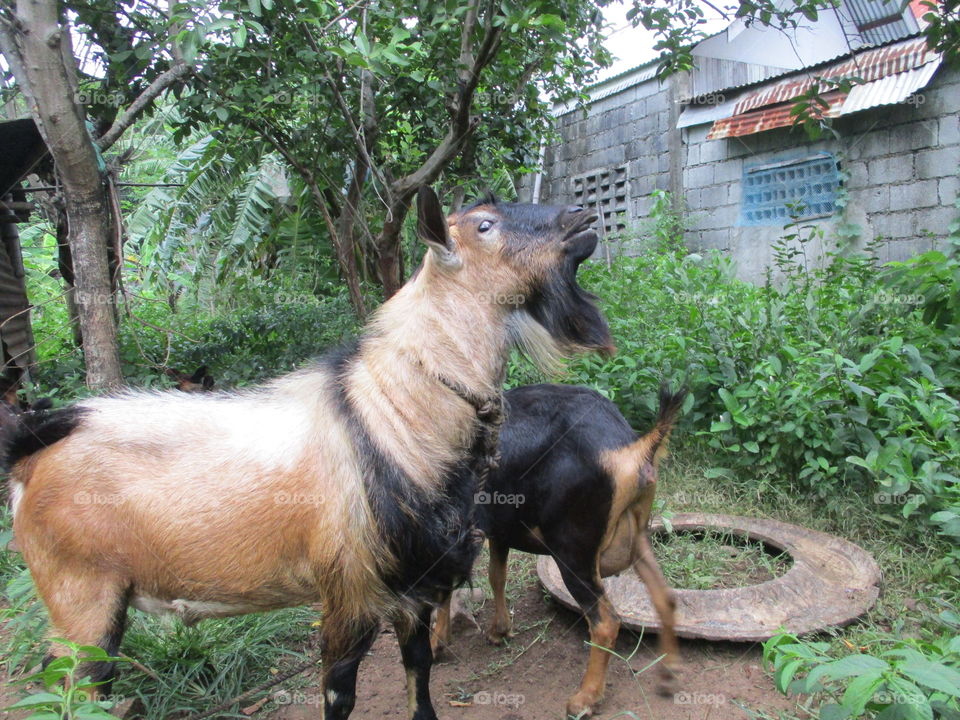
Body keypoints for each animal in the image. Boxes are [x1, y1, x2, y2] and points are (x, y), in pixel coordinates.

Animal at [4, 188, 613, 720]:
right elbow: (339, 694)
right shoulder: (349, 591)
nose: (581, 217)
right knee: (71, 690)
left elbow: (419, 671)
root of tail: (33, 452)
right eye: (485, 225)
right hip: (81, 597)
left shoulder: (414, 582)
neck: (391, 416)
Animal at [432, 384, 685, 719]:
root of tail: (633, 447)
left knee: (605, 622)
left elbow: (444, 587)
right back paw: (669, 673)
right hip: (639, 536)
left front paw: (436, 644)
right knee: (664, 596)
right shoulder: (500, 528)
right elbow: (496, 575)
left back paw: (585, 699)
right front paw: (500, 631)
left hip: (573, 550)